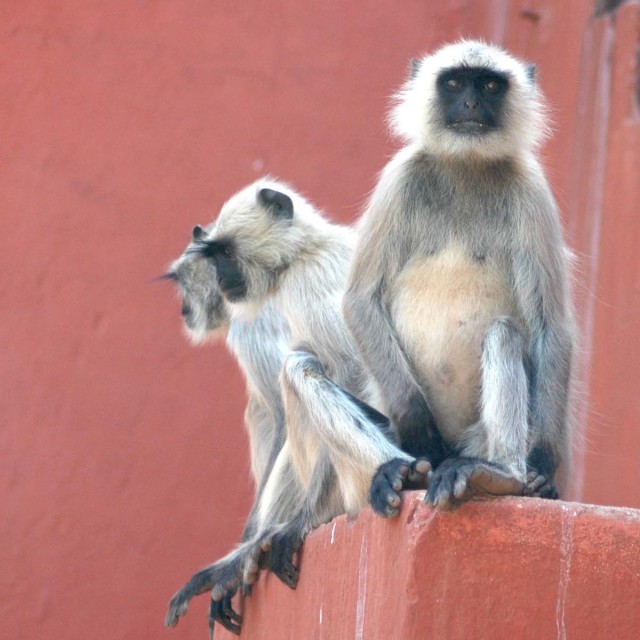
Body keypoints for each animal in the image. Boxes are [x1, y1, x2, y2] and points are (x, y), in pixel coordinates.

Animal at [342, 40, 576, 512]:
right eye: (453, 83)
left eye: (488, 85)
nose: (469, 103)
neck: (465, 165)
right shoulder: (400, 176)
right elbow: (360, 299)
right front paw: (419, 431)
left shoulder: (532, 190)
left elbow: (550, 327)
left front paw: (544, 465)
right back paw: (398, 472)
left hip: (478, 438)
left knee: (503, 333)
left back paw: (499, 475)